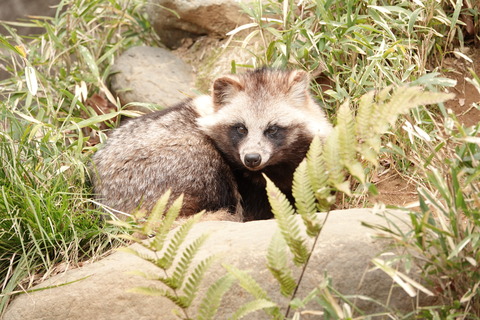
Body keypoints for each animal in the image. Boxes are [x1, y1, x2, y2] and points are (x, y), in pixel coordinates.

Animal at [91, 69, 330, 221]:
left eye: (272, 129)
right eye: (241, 128)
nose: (252, 158)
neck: (271, 168)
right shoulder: (248, 185)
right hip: (174, 165)